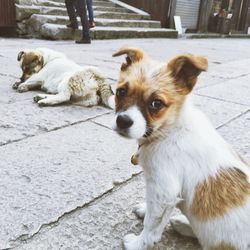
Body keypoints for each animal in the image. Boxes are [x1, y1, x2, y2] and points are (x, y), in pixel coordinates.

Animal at [112, 47, 250, 250]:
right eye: (120, 92)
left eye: (156, 103)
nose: (122, 121)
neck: (170, 130)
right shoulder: (161, 191)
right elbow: (152, 211)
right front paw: (144, 209)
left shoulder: (164, 190)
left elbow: (151, 224)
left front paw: (138, 244)